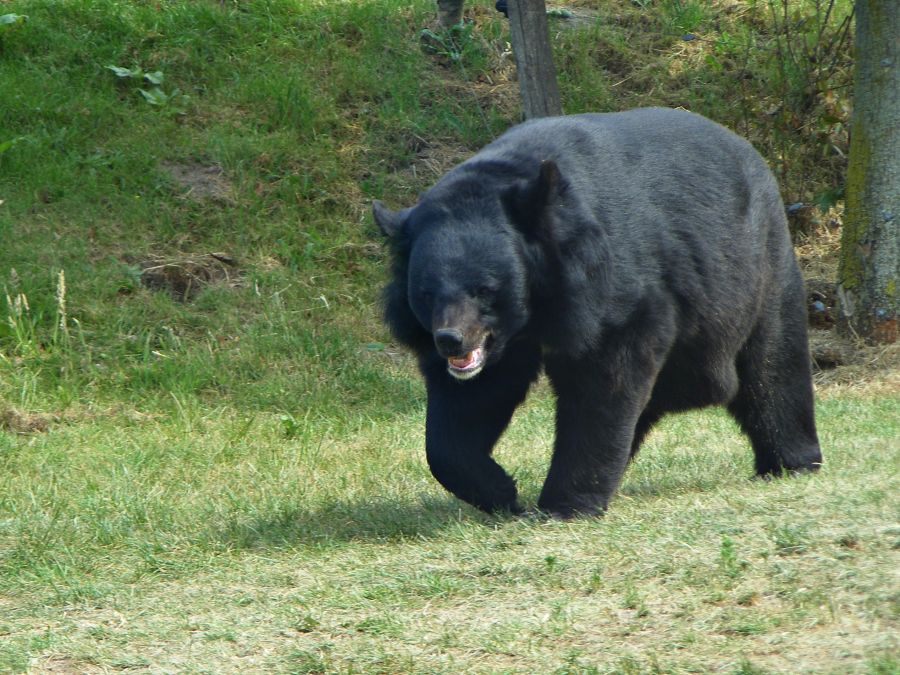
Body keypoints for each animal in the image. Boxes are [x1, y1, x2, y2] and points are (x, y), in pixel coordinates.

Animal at [372, 107, 822, 518]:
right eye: (426, 294)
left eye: (485, 289)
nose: (451, 341)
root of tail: (749, 150)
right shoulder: (501, 343)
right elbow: (466, 408)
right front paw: (501, 492)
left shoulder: (611, 290)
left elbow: (604, 380)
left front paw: (563, 505)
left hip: (756, 268)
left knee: (771, 365)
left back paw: (791, 462)